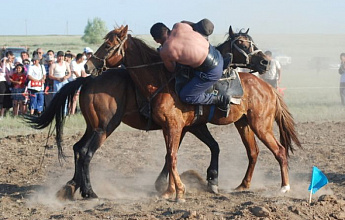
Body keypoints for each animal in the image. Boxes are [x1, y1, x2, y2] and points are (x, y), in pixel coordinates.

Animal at [82, 25, 298, 201]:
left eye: (108, 46)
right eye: (242, 43)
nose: (87, 65)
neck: (161, 81)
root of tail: (268, 88)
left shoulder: (177, 127)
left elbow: (172, 156)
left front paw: (178, 191)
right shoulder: (175, 127)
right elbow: (172, 156)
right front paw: (171, 190)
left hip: (260, 125)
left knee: (279, 150)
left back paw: (284, 187)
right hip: (244, 124)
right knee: (253, 152)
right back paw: (243, 185)